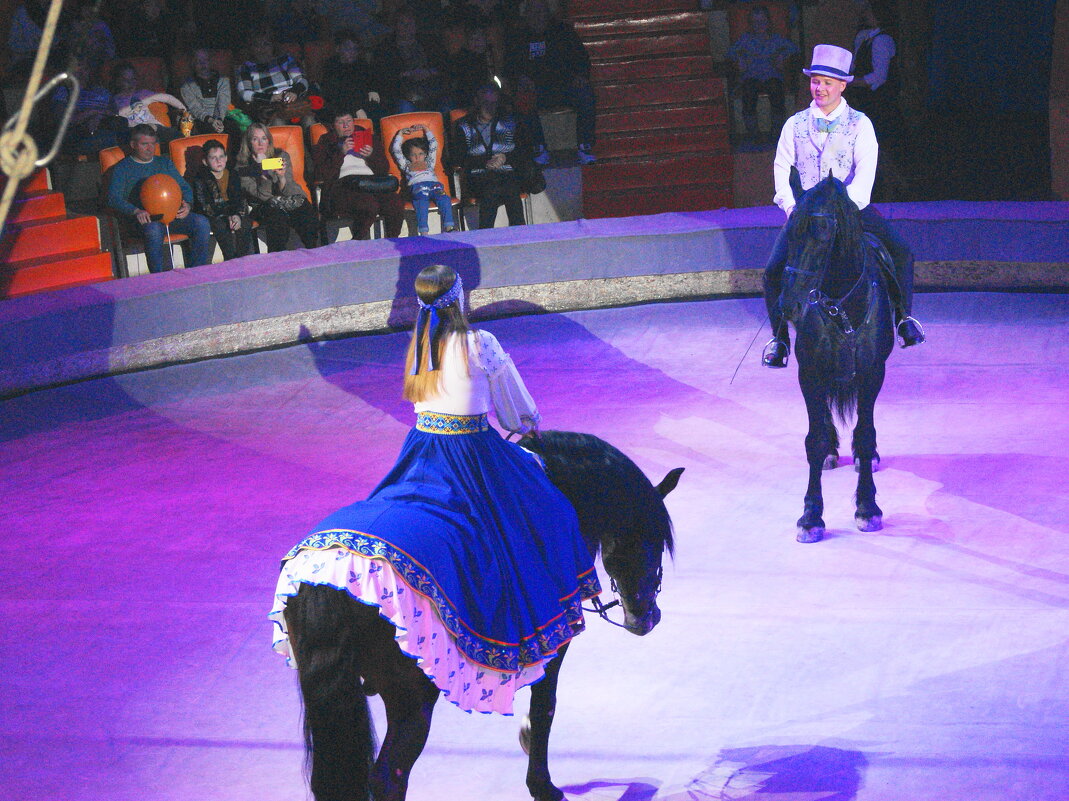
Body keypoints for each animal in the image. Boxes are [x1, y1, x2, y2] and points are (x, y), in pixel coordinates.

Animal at [282, 432, 684, 799]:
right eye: (650, 542)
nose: (644, 618)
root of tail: (333, 576)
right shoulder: (556, 638)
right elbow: (545, 708)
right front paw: (542, 783)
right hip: (410, 697)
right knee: (389, 776)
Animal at [765, 171, 897, 541]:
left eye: (824, 231)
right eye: (791, 231)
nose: (789, 305)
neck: (842, 307)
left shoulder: (872, 373)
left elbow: (865, 435)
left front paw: (867, 508)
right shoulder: (810, 373)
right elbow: (815, 438)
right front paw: (811, 515)